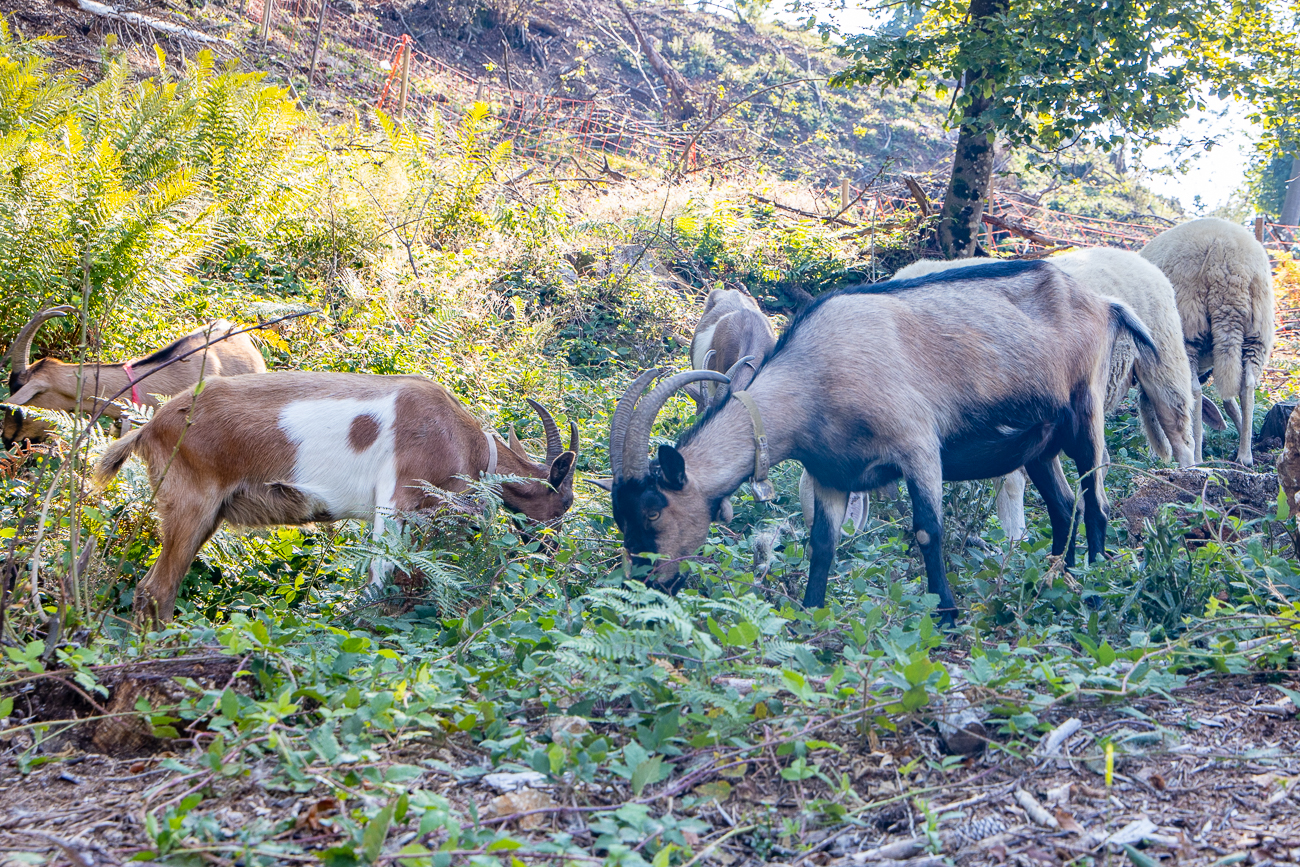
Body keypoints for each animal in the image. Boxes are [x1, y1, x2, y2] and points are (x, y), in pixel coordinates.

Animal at [102, 374, 585, 623]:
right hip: (191, 507)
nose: (551, 550)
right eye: (563, 503)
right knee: (156, 591)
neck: (463, 438)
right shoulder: (397, 500)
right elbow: (379, 580)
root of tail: (151, 426)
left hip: (207, 516)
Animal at [603, 259, 1154, 623]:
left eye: (653, 509)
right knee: (1062, 506)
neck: (814, 377)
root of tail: (1103, 303)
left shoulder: (919, 447)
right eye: (620, 516)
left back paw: (1094, 579)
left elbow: (928, 530)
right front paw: (811, 613)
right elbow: (822, 544)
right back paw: (1051, 578)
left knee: (1095, 501)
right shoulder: (831, 473)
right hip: (1039, 443)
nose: (642, 584)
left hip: (1085, 414)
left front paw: (945, 614)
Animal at [1144, 215, 1274, 467]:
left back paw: (1198, 457)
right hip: (1257, 330)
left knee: (1194, 390)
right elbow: (1229, 401)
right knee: (1247, 384)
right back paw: (1246, 455)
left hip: (1190, 325)